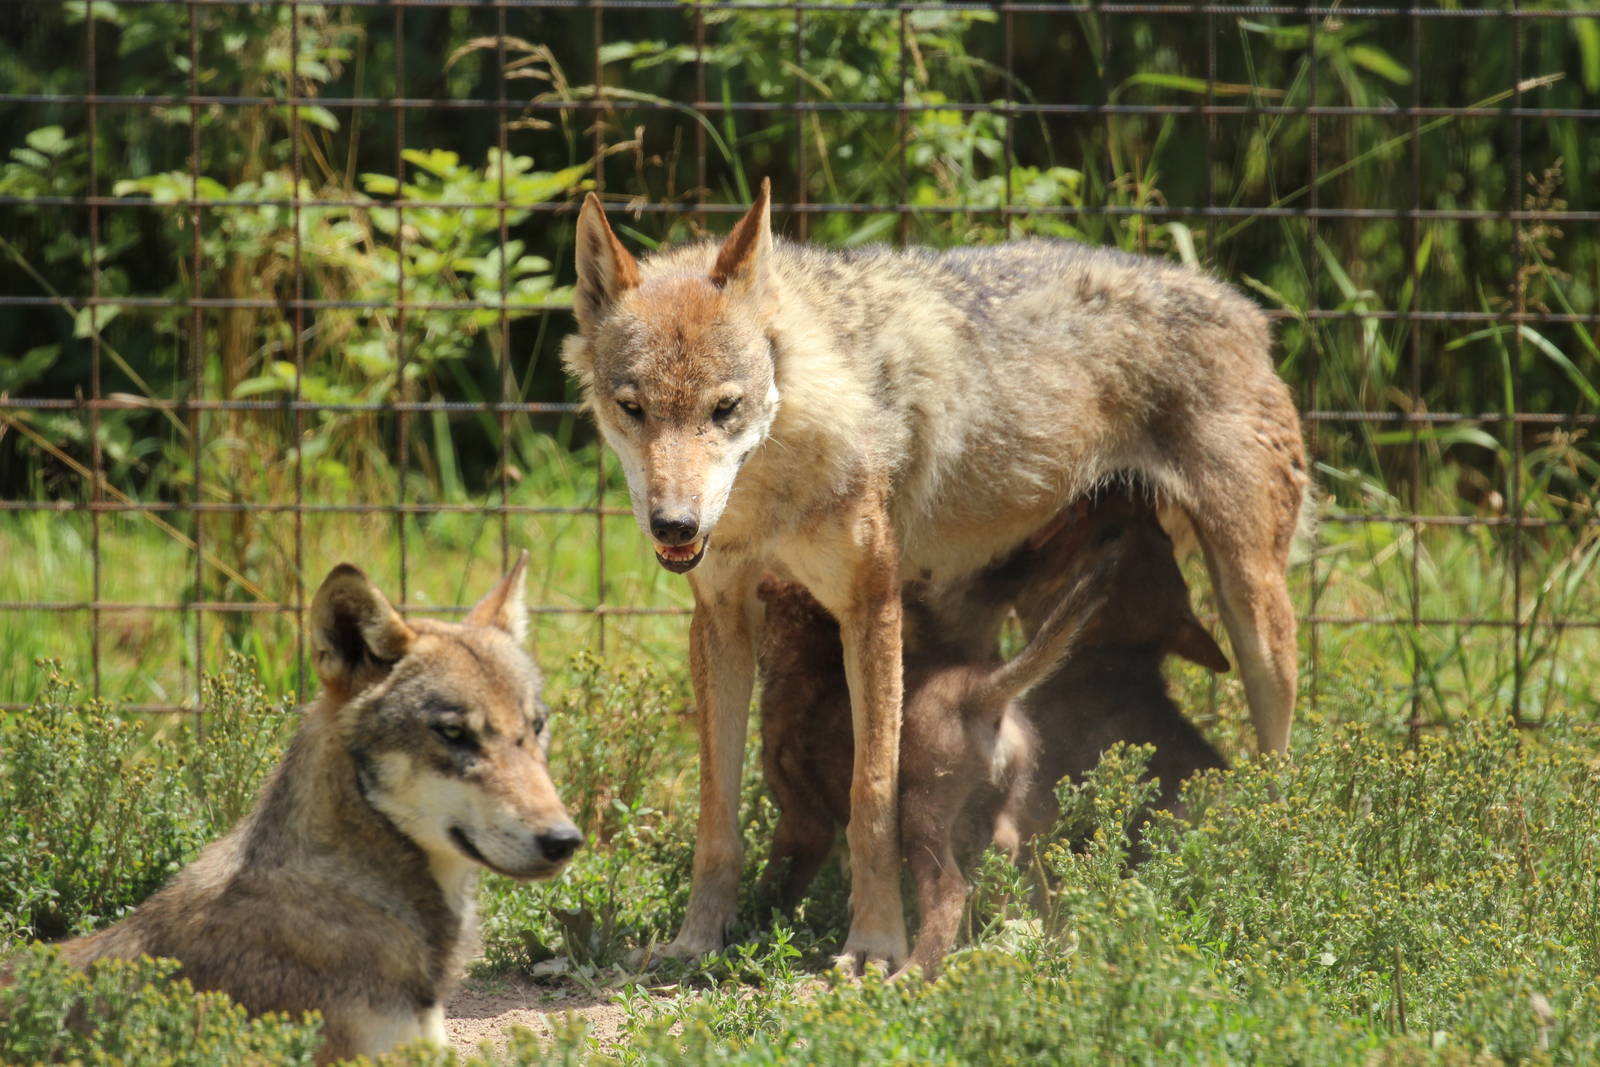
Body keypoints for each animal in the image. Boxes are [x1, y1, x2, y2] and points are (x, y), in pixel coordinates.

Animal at [562, 178, 1307, 970]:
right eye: (632, 408)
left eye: (724, 408)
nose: (674, 525)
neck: (775, 483)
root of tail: (1237, 302)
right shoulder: (723, 618)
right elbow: (717, 811)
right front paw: (698, 939)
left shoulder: (871, 608)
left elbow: (871, 797)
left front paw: (875, 944)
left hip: (1256, 622)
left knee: (1277, 761)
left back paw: (1271, 856)